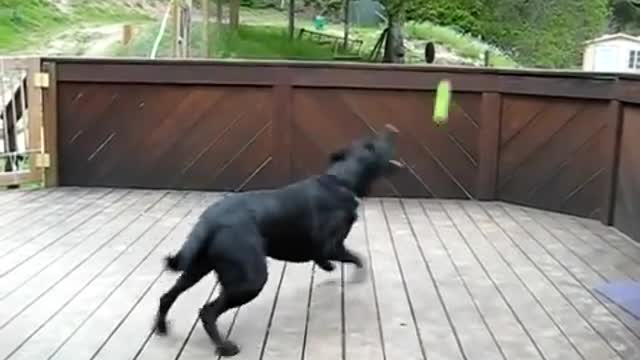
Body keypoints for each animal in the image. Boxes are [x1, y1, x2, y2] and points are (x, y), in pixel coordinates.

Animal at [153, 124, 402, 358]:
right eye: (376, 142)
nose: (391, 130)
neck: (341, 179)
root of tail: (210, 220)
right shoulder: (331, 245)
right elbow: (357, 258)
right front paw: (353, 274)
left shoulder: (323, 248)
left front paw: (328, 267)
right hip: (250, 279)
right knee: (207, 312)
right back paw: (225, 347)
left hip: (197, 267)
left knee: (167, 296)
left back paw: (161, 328)